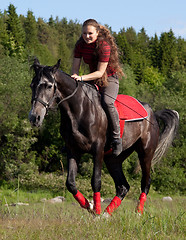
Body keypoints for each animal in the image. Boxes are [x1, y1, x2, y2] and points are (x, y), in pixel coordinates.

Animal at [28, 59, 179, 217]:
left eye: (49, 86)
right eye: (32, 85)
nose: (34, 117)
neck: (80, 109)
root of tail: (153, 113)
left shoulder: (98, 150)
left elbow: (96, 181)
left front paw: (96, 212)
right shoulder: (73, 150)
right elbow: (70, 183)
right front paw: (89, 206)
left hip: (146, 153)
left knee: (145, 182)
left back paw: (137, 213)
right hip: (113, 159)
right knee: (123, 186)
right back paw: (107, 214)